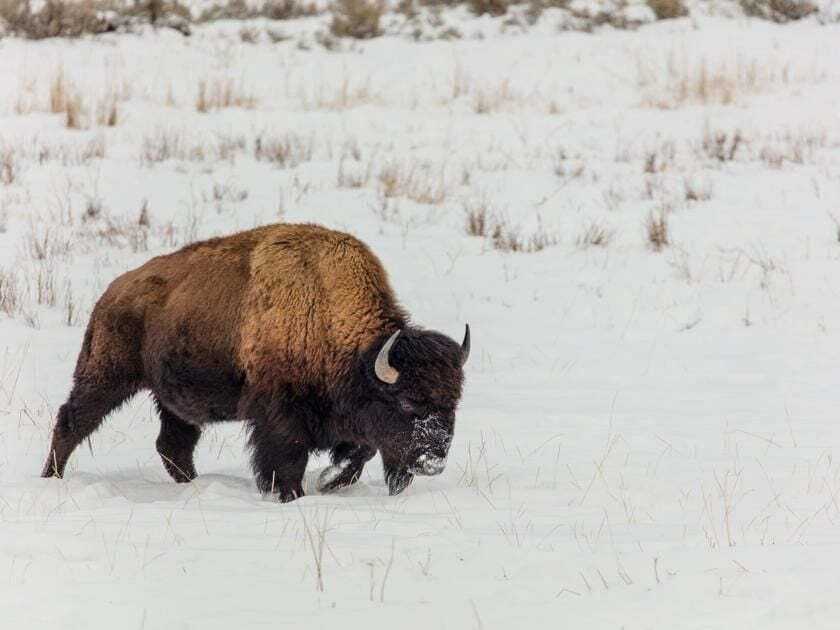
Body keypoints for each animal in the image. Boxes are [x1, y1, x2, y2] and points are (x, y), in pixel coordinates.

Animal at [41, 225, 466, 502]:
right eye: (408, 402)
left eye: (453, 403)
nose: (432, 462)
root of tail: (113, 293)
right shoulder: (279, 418)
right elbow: (288, 460)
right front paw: (292, 495)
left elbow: (360, 451)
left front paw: (330, 480)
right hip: (105, 377)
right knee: (72, 422)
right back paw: (51, 477)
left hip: (174, 401)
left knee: (173, 444)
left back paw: (193, 485)